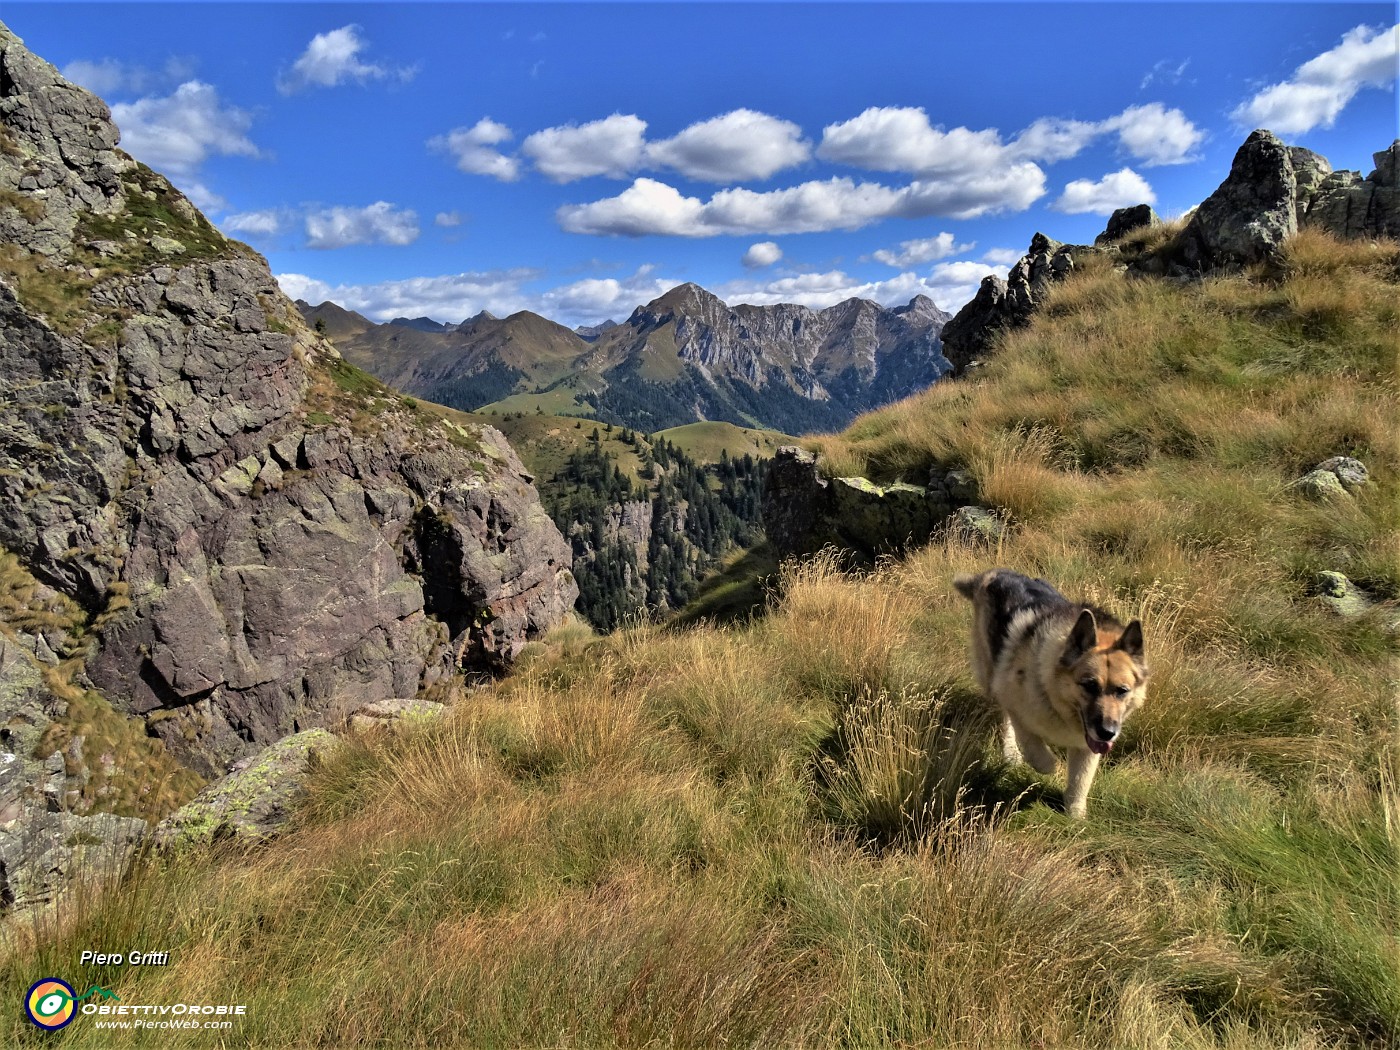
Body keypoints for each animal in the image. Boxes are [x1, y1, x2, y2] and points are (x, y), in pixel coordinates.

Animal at [952, 568, 1148, 823]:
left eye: (1122, 691)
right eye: (1089, 686)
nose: (1107, 733)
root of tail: (994, 573)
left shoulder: (1086, 746)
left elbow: (1080, 781)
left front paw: (1075, 817)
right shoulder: (1015, 705)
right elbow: (1035, 748)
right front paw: (1049, 766)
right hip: (992, 677)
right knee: (1006, 720)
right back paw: (1011, 753)